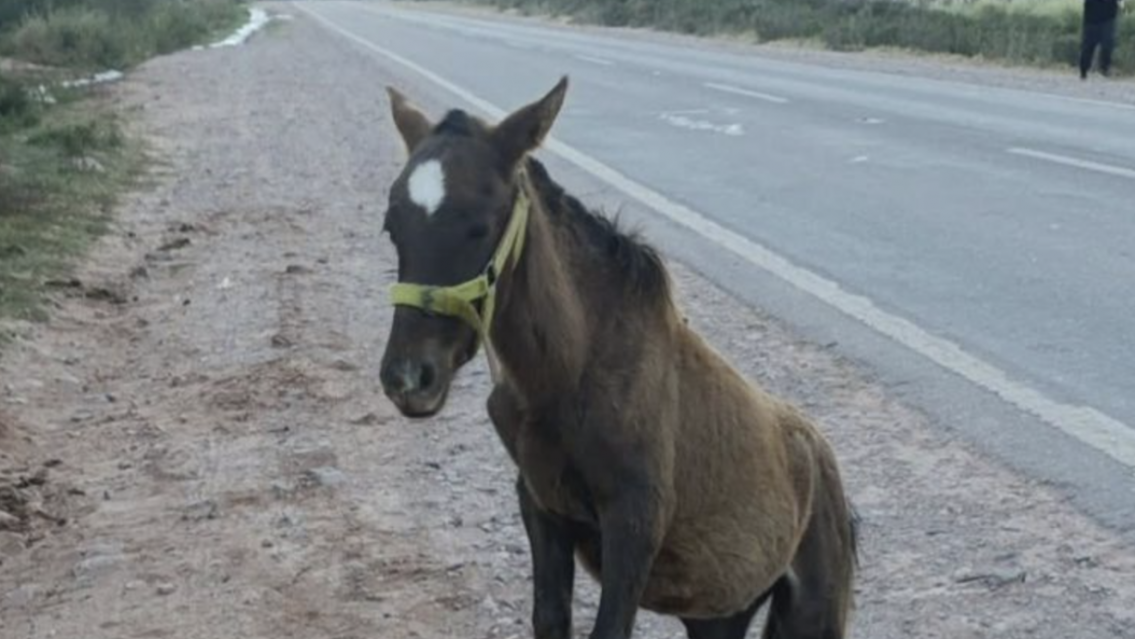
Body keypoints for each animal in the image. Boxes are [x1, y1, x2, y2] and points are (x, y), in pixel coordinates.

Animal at [378, 77, 859, 639]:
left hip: (811, 610)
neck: (570, 374)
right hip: (720, 612)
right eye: (392, 225)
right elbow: (550, 619)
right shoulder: (541, 507)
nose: (410, 377)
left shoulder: (635, 524)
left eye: (481, 223)